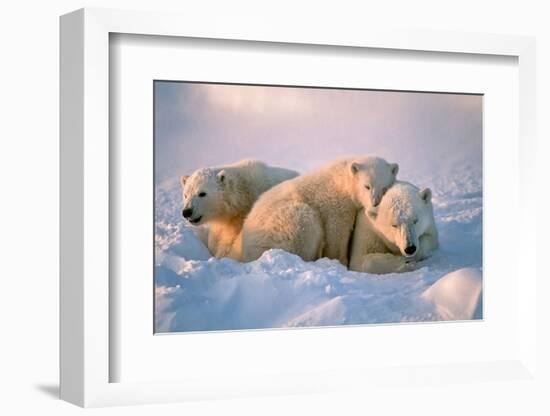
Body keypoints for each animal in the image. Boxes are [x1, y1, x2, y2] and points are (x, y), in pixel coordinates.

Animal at [242, 158, 402, 264]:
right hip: (284, 224)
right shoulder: (335, 205)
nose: (375, 203)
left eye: (385, 188)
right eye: (367, 186)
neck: (343, 181)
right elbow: (337, 234)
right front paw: (340, 261)